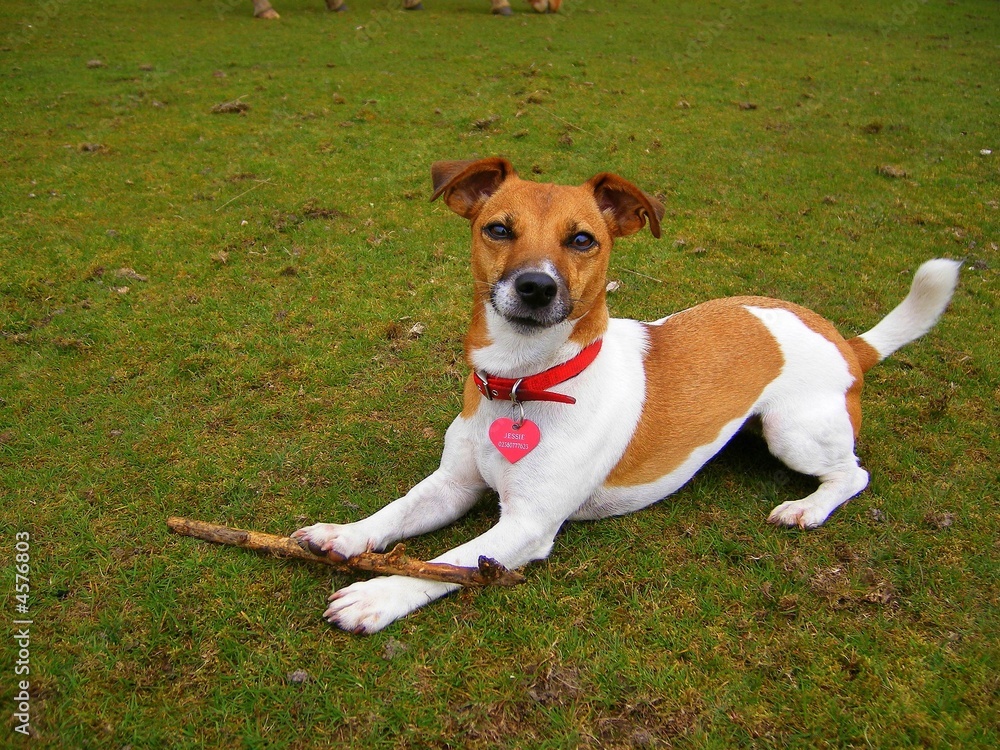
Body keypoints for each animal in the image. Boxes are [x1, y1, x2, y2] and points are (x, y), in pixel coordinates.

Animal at [292, 157, 964, 636]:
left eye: (583, 240)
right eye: (498, 230)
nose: (535, 287)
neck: (525, 383)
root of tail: (847, 342)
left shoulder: (527, 526)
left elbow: (448, 562)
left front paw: (379, 595)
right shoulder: (452, 485)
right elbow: (397, 512)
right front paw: (346, 535)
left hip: (793, 430)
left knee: (853, 474)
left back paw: (810, 507)